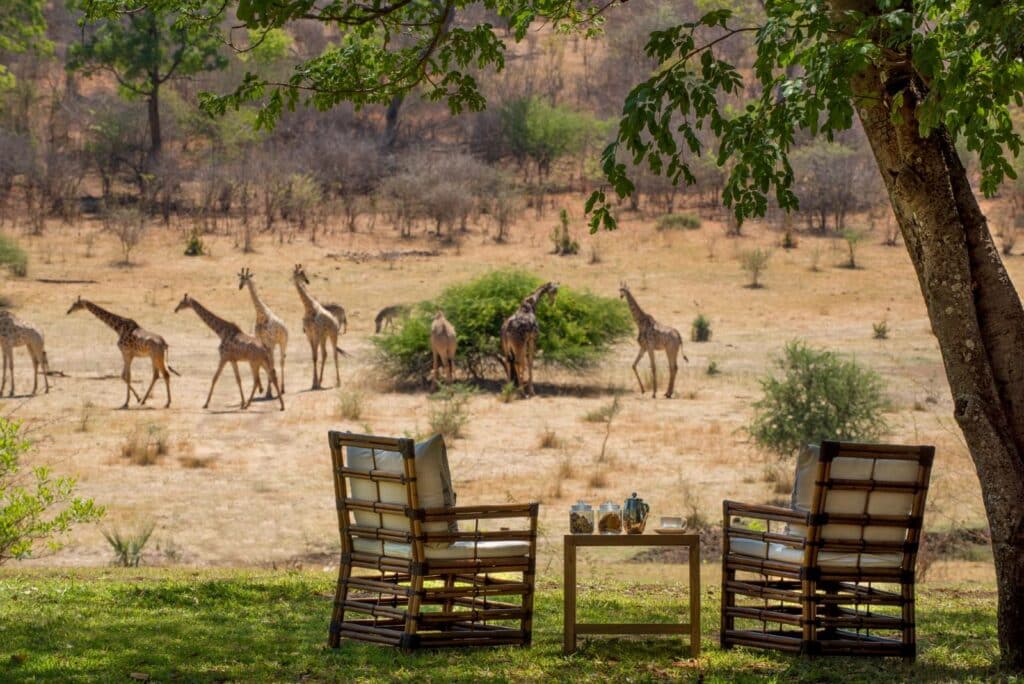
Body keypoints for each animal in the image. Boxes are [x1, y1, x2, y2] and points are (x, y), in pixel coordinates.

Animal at [238, 267, 288, 398]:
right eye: (240, 278)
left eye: (246, 278)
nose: (240, 286)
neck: (261, 314)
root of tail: (285, 327)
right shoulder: (263, 342)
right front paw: (267, 391)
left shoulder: (270, 342)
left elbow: (271, 364)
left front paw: (269, 392)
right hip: (274, 345)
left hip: (283, 343)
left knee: (281, 361)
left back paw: (282, 389)